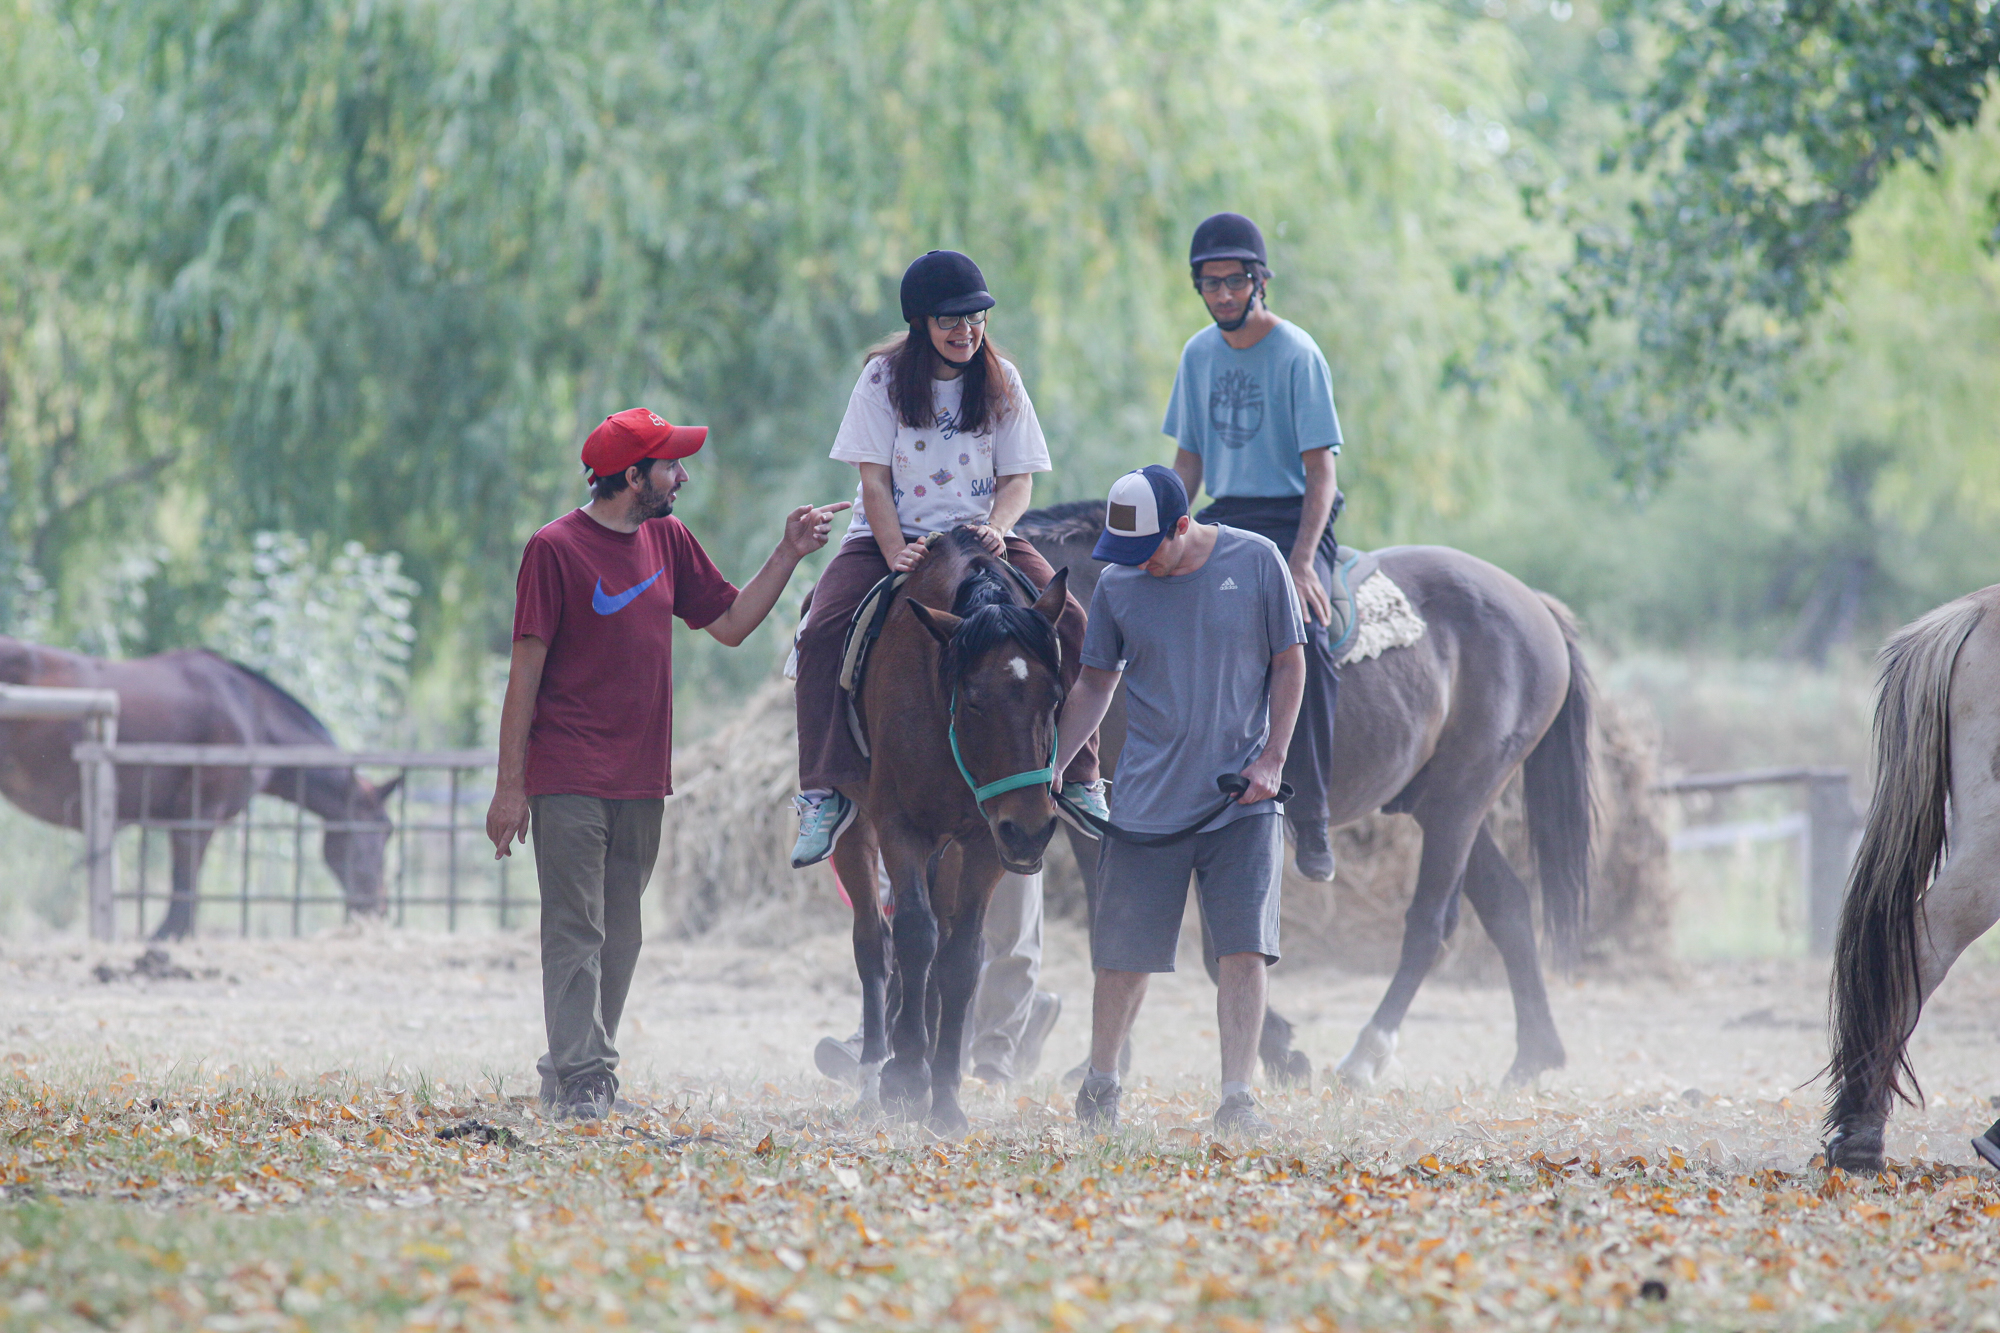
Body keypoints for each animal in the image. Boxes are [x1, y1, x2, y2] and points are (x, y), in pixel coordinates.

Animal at [828, 524, 1080, 1128]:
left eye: (1056, 697)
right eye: (974, 700)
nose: (1031, 832)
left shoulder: (985, 841)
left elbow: (962, 955)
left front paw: (942, 1095)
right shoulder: (899, 827)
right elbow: (913, 937)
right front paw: (904, 1075)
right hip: (858, 830)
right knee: (874, 940)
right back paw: (873, 1073)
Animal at [1016, 504, 1592, 1088]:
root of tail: (1533, 603)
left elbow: (1205, 943)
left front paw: (1281, 1051)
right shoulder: (1102, 827)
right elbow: (1114, 930)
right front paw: (1102, 1063)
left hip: (1461, 797)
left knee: (1430, 924)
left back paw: (1366, 1055)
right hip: (1444, 804)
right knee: (1508, 906)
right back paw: (1534, 1055)